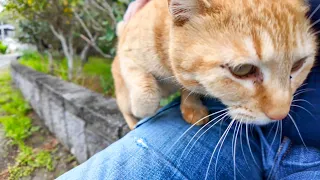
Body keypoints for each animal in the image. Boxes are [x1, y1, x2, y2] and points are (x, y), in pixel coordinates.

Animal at [111, 0, 316, 129]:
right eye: (242, 70)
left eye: (298, 64)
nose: (281, 114)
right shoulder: (127, 55)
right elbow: (147, 95)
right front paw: (144, 109)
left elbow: (189, 87)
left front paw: (191, 107)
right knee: (124, 107)